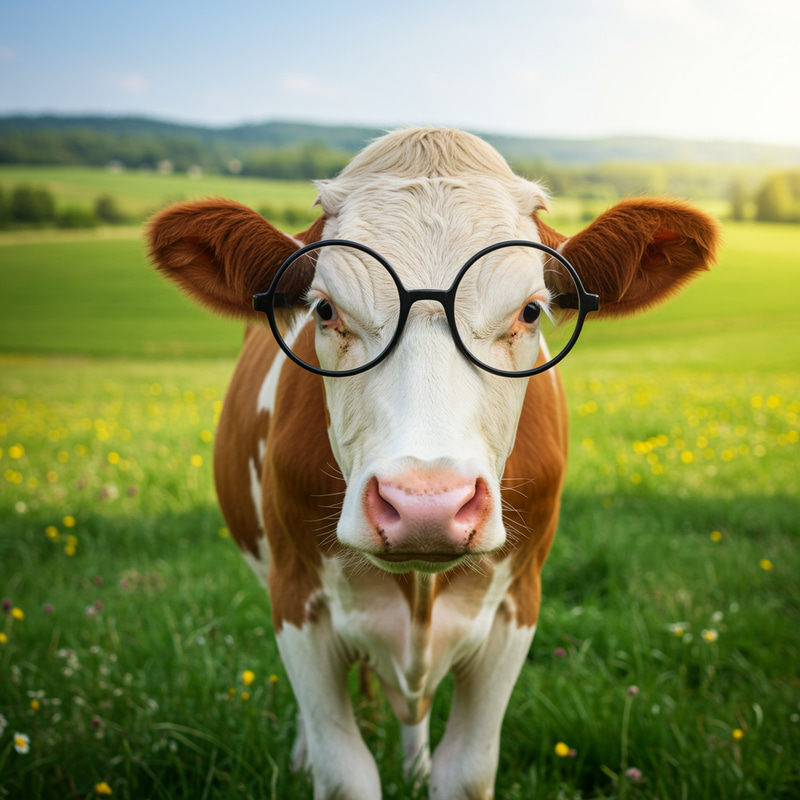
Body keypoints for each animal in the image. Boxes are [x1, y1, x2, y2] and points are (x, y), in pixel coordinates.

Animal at [148, 127, 720, 800]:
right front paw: (320, 760)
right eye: (324, 310)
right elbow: (343, 773)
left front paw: (427, 768)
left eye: (531, 310)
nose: (426, 505)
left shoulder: (515, 607)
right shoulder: (296, 602)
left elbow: (465, 770)